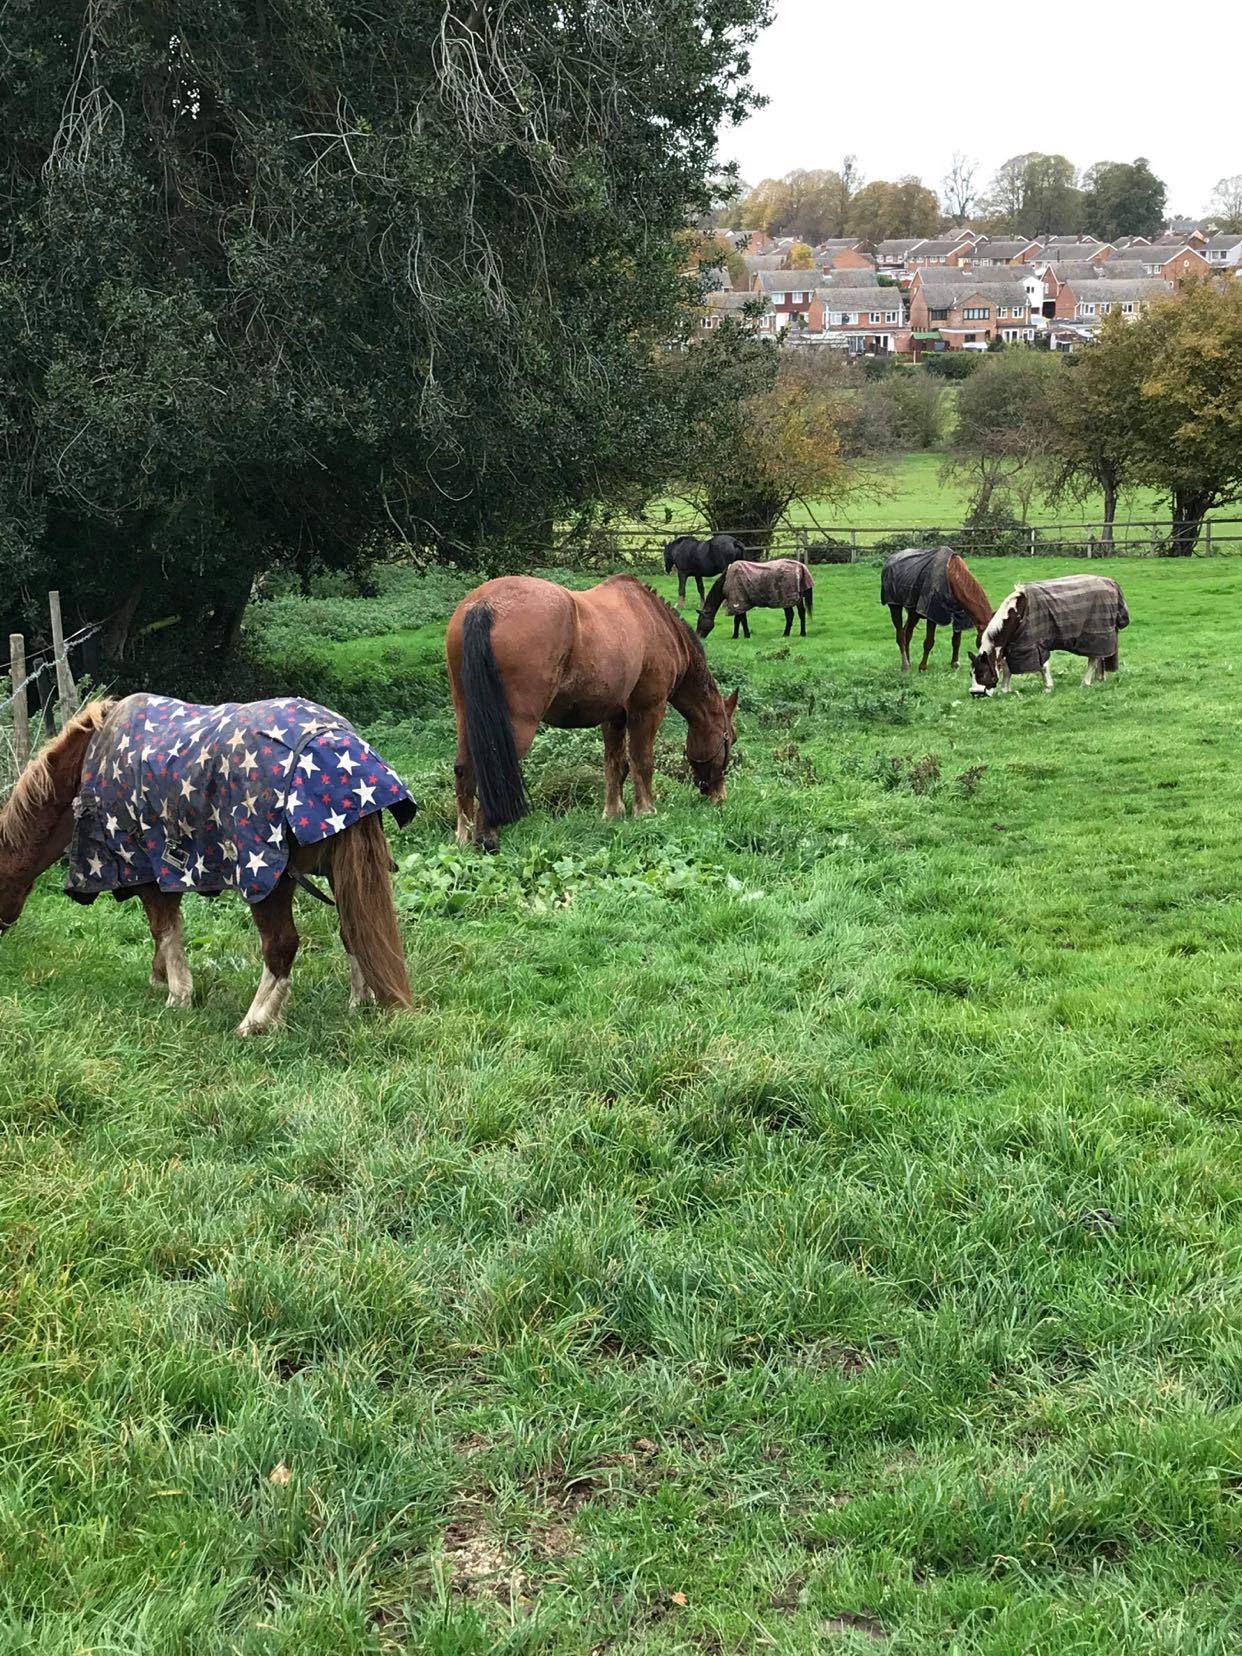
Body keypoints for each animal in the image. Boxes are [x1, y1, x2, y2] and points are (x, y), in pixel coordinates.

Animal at [0, 695, 418, 1033]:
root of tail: (335, 740)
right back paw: (357, 1003)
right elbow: (165, 932)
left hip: (266, 878)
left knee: (281, 945)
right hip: (337, 873)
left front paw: (177, 996)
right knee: (353, 930)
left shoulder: (147, 870)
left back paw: (254, 1022)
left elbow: (165, 931)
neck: (90, 764)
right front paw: (162, 980)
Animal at [447, 576, 738, 847]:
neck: (654, 620)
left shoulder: (614, 717)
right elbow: (641, 761)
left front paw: (613, 812)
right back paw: (487, 837)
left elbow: (615, 764)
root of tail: (485, 605)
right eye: (730, 739)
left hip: (467, 717)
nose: (719, 796)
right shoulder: (647, 709)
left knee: (464, 769)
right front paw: (646, 811)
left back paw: (464, 836)